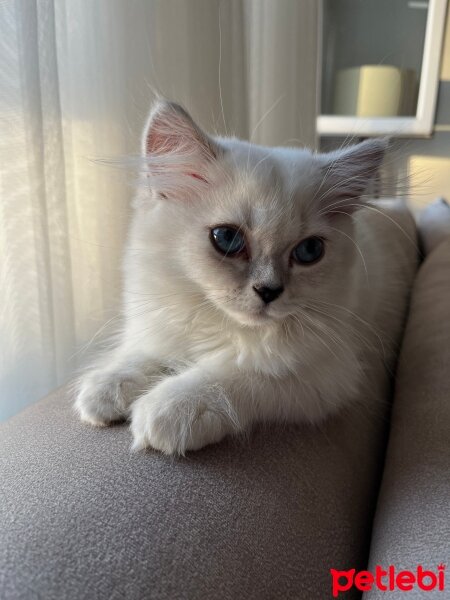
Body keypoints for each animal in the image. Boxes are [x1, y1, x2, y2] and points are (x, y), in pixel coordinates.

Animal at [74, 101, 418, 454]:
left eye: (309, 251)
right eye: (227, 239)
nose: (269, 291)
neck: (220, 326)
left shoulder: (324, 373)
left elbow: (238, 375)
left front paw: (170, 408)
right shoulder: (164, 322)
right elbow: (143, 354)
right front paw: (106, 389)